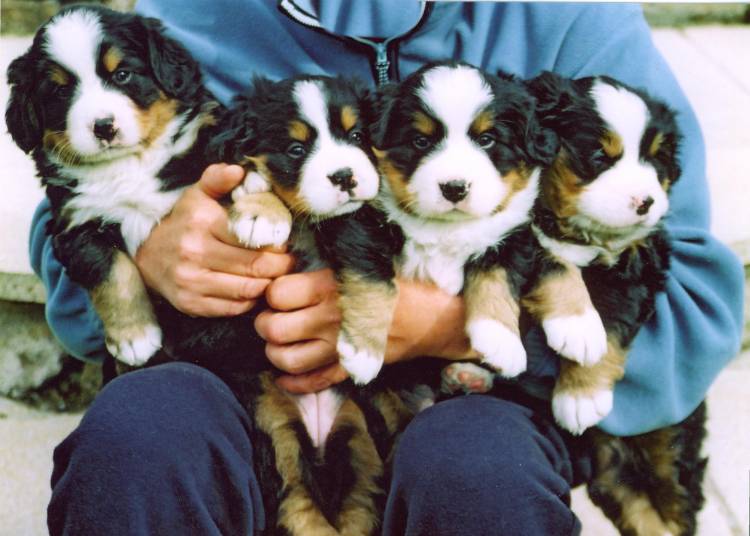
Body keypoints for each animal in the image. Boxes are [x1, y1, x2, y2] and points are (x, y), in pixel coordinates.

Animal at [6, 7, 223, 368]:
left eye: (122, 74)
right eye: (61, 92)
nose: (104, 127)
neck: (128, 166)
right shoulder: (76, 221)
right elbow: (111, 270)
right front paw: (135, 337)